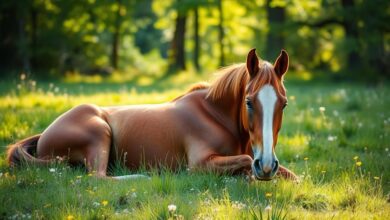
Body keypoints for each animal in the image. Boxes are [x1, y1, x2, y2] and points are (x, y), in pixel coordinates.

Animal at [6, 49, 298, 180]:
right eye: (249, 102)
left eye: (283, 104)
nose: (266, 165)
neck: (214, 116)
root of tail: (44, 134)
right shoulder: (199, 164)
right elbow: (244, 161)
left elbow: (290, 175)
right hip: (99, 133)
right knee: (99, 177)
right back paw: (144, 176)